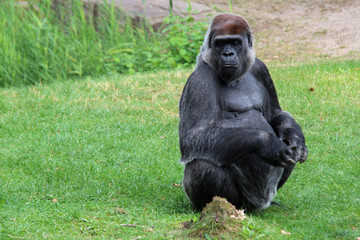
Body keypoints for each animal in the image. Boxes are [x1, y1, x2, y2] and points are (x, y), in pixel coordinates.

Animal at [179, 14, 308, 211]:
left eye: (235, 42)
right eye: (220, 44)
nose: (227, 54)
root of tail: (258, 205)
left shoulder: (260, 68)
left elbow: (275, 115)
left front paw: (295, 136)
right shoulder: (200, 79)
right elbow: (193, 137)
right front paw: (267, 144)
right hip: (241, 202)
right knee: (202, 164)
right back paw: (213, 206)